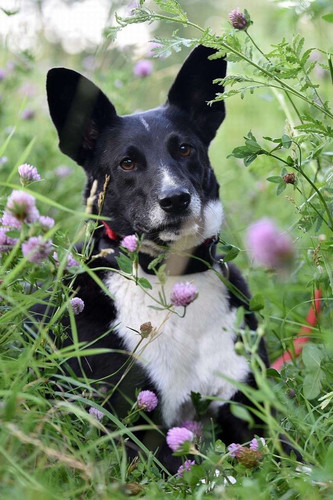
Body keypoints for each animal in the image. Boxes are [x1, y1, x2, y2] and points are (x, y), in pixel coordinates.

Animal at [45, 46, 268, 472]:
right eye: (127, 163)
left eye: (184, 149)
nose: (176, 199)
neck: (173, 278)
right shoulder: (139, 432)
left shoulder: (251, 407)